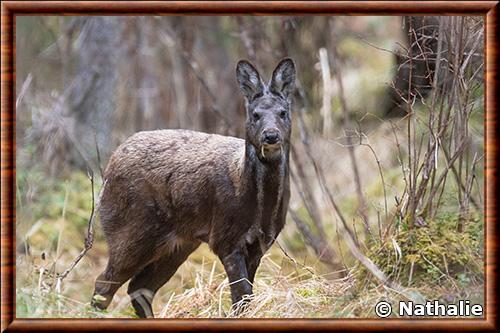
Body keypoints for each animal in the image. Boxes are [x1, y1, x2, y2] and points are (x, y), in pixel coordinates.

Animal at [91, 57, 294, 316]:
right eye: (255, 114)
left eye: (283, 112)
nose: (271, 136)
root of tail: (110, 164)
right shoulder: (225, 238)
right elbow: (241, 296)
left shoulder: (261, 243)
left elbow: (246, 297)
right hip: (129, 231)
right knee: (104, 284)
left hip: (179, 244)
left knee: (140, 288)